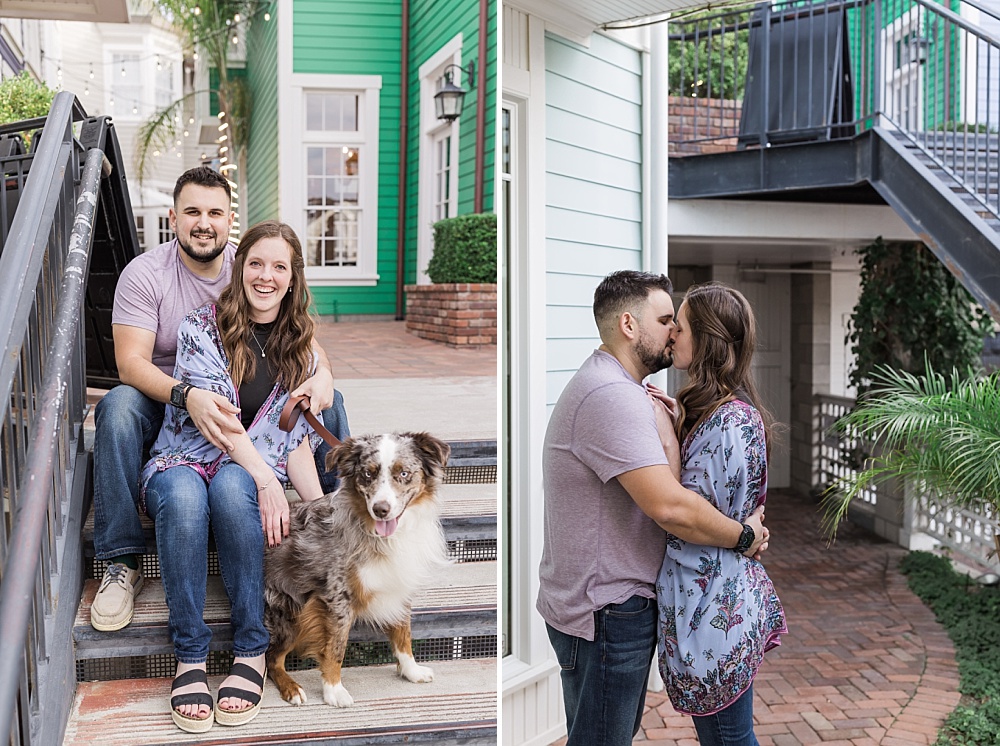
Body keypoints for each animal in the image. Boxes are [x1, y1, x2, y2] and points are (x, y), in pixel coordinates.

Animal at [266, 430, 454, 704]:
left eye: (403, 473)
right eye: (367, 474)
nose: (381, 509)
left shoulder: (399, 584)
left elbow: (403, 633)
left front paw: (411, 670)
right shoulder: (337, 597)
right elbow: (336, 647)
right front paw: (333, 690)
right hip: (291, 612)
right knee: (272, 658)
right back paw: (292, 688)